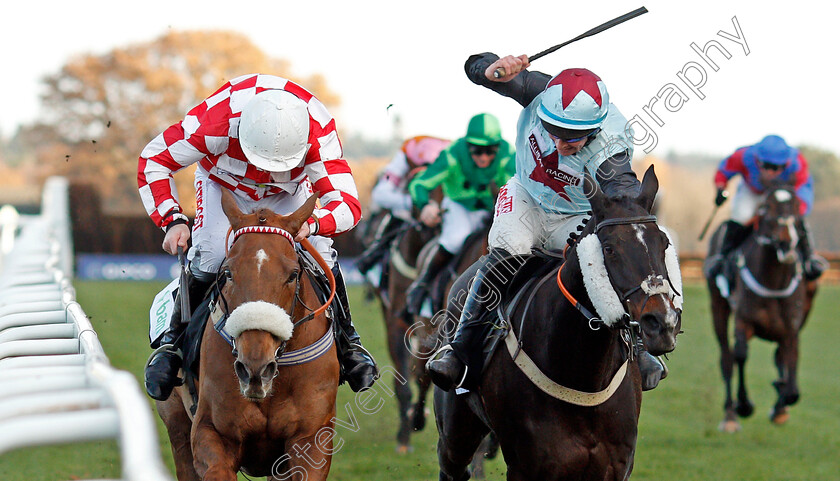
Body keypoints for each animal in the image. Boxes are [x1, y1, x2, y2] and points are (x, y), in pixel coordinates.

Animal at [156, 188, 340, 480]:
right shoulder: (211, 431)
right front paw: (176, 229)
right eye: (228, 273)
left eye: (293, 274)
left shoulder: (311, 440)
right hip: (177, 425)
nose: (255, 367)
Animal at [434, 166, 684, 480]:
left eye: (663, 244)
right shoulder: (527, 466)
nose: (662, 323)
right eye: (610, 249)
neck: (582, 373)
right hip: (456, 433)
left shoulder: (615, 465)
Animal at [704, 182, 816, 430]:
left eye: (797, 207)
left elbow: (792, 384)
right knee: (726, 358)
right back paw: (730, 415)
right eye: (766, 207)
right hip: (718, 307)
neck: (774, 281)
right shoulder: (743, 321)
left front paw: (780, 399)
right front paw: (744, 405)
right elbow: (740, 354)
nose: (786, 243)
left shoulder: (791, 330)